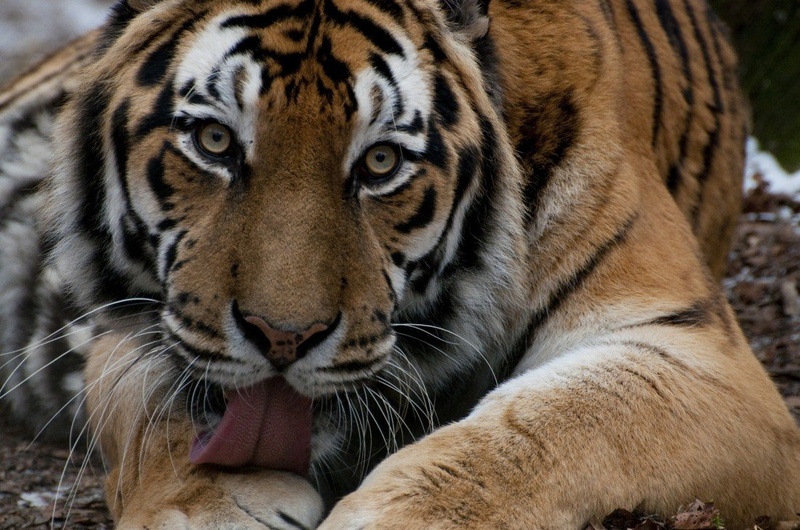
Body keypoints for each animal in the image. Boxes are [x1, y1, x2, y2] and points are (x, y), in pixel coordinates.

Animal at [1, 0, 799, 528]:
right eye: (216, 142)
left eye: (380, 163)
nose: (282, 339)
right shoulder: (136, 322)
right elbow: (152, 411)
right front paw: (208, 505)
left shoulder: (697, 355)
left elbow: (549, 428)